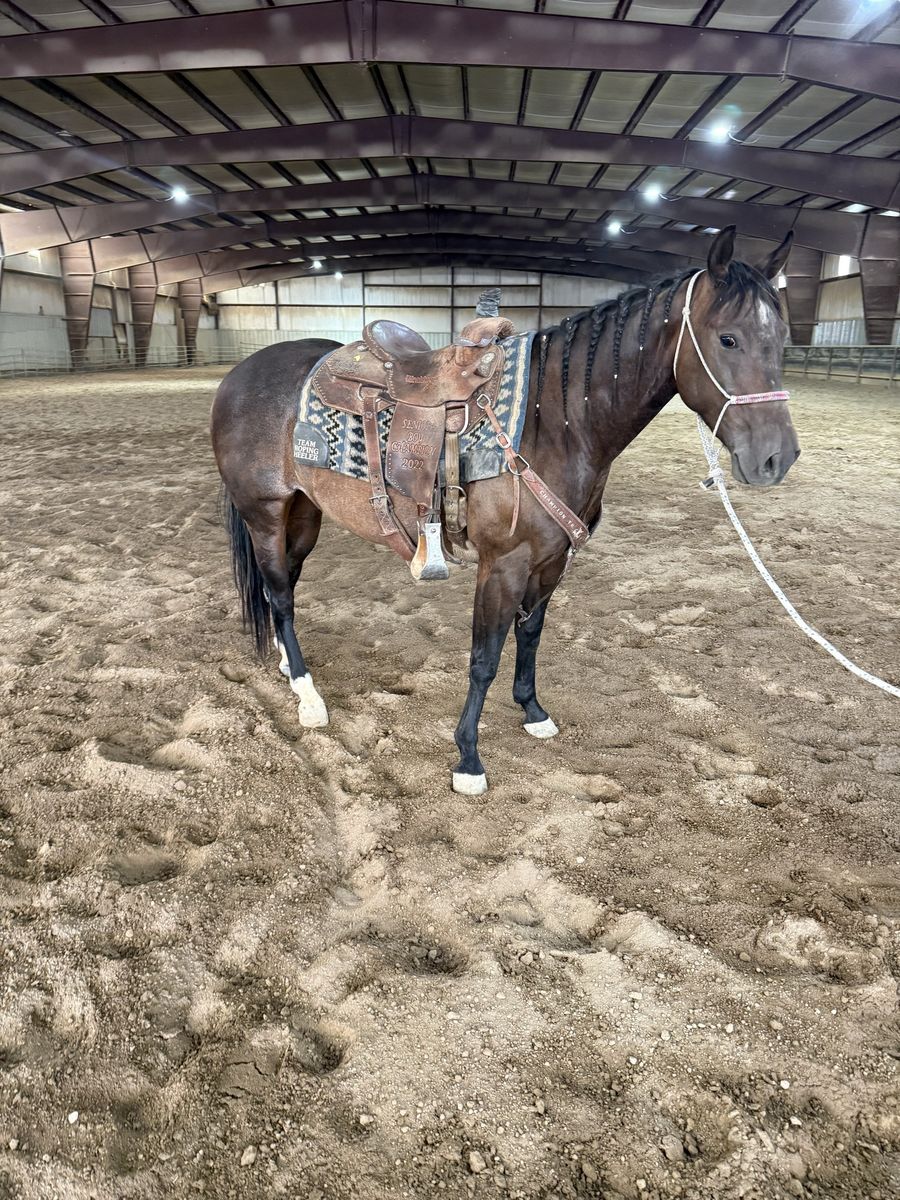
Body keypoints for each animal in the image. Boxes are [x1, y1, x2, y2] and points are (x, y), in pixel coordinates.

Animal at [211, 226, 799, 795]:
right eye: (727, 338)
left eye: (782, 338)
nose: (777, 458)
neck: (557, 422)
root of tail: (241, 373)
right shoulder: (504, 564)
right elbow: (484, 657)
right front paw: (468, 758)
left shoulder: (552, 560)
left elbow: (530, 634)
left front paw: (532, 710)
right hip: (264, 513)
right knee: (280, 596)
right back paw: (308, 695)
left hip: (303, 513)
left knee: (283, 587)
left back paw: (287, 663)